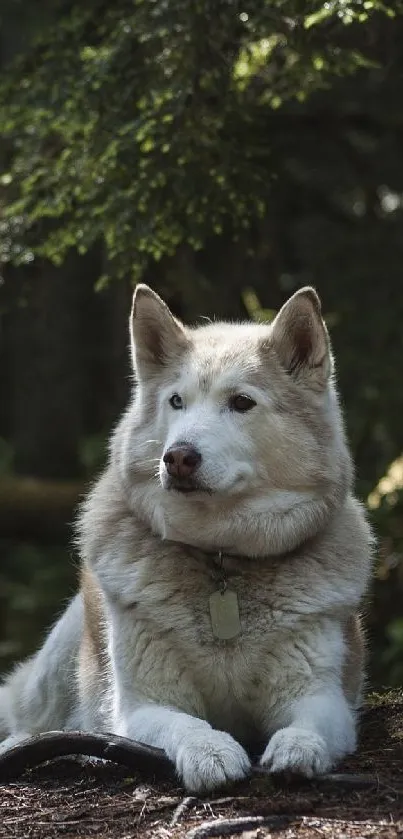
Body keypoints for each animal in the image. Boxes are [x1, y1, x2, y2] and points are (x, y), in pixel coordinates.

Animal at [0, 286, 374, 792]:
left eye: (241, 403)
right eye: (176, 401)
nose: (177, 457)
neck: (221, 558)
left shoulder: (322, 697)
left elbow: (307, 727)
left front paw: (298, 750)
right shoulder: (143, 706)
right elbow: (187, 724)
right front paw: (210, 753)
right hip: (61, 660)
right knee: (29, 720)